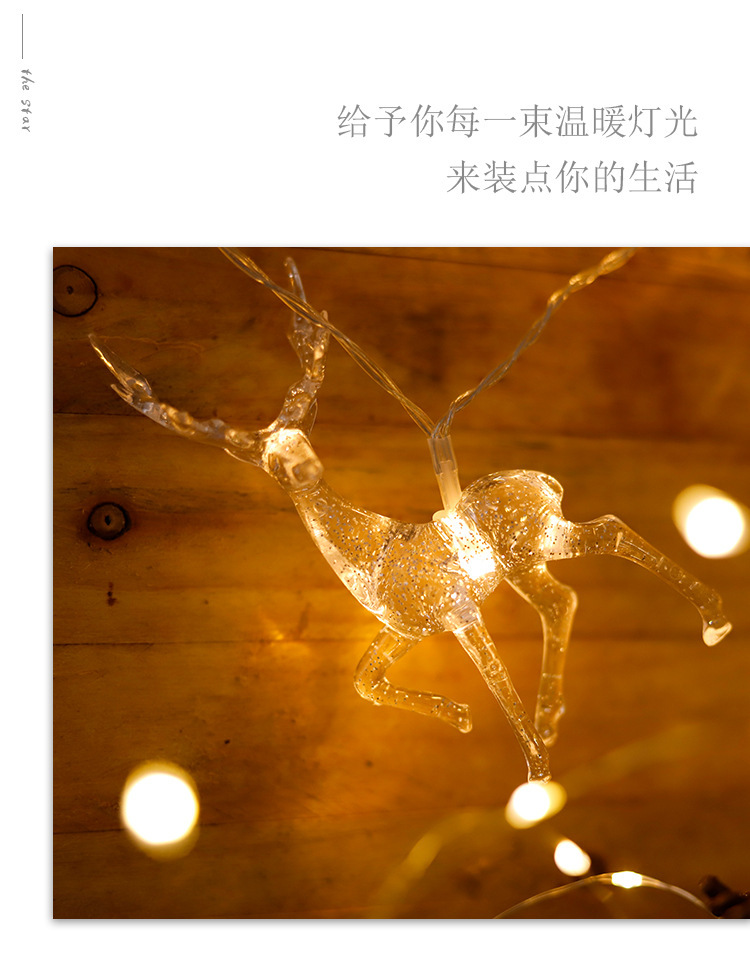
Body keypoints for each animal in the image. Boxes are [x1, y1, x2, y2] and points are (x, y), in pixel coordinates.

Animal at [90, 249, 732, 785]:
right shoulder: (405, 628)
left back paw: (713, 622)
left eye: (304, 426)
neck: (369, 556)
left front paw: (534, 770)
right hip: (527, 559)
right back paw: (557, 713)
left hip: (533, 541)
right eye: (261, 456)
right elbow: (363, 680)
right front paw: (462, 717)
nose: (300, 465)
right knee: (565, 595)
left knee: (610, 534)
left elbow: (488, 671)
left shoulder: (457, 607)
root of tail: (542, 480)